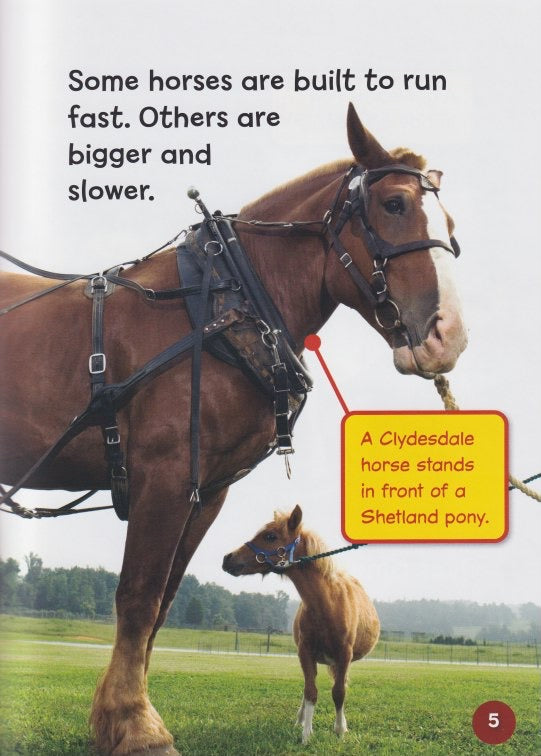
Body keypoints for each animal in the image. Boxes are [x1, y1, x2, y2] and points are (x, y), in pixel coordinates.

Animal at [222, 504, 380, 743]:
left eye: (270, 536)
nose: (227, 558)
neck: (328, 604)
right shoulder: (305, 652)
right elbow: (310, 692)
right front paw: (306, 734)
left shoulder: (344, 654)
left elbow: (339, 692)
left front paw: (339, 730)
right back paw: (301, 719)